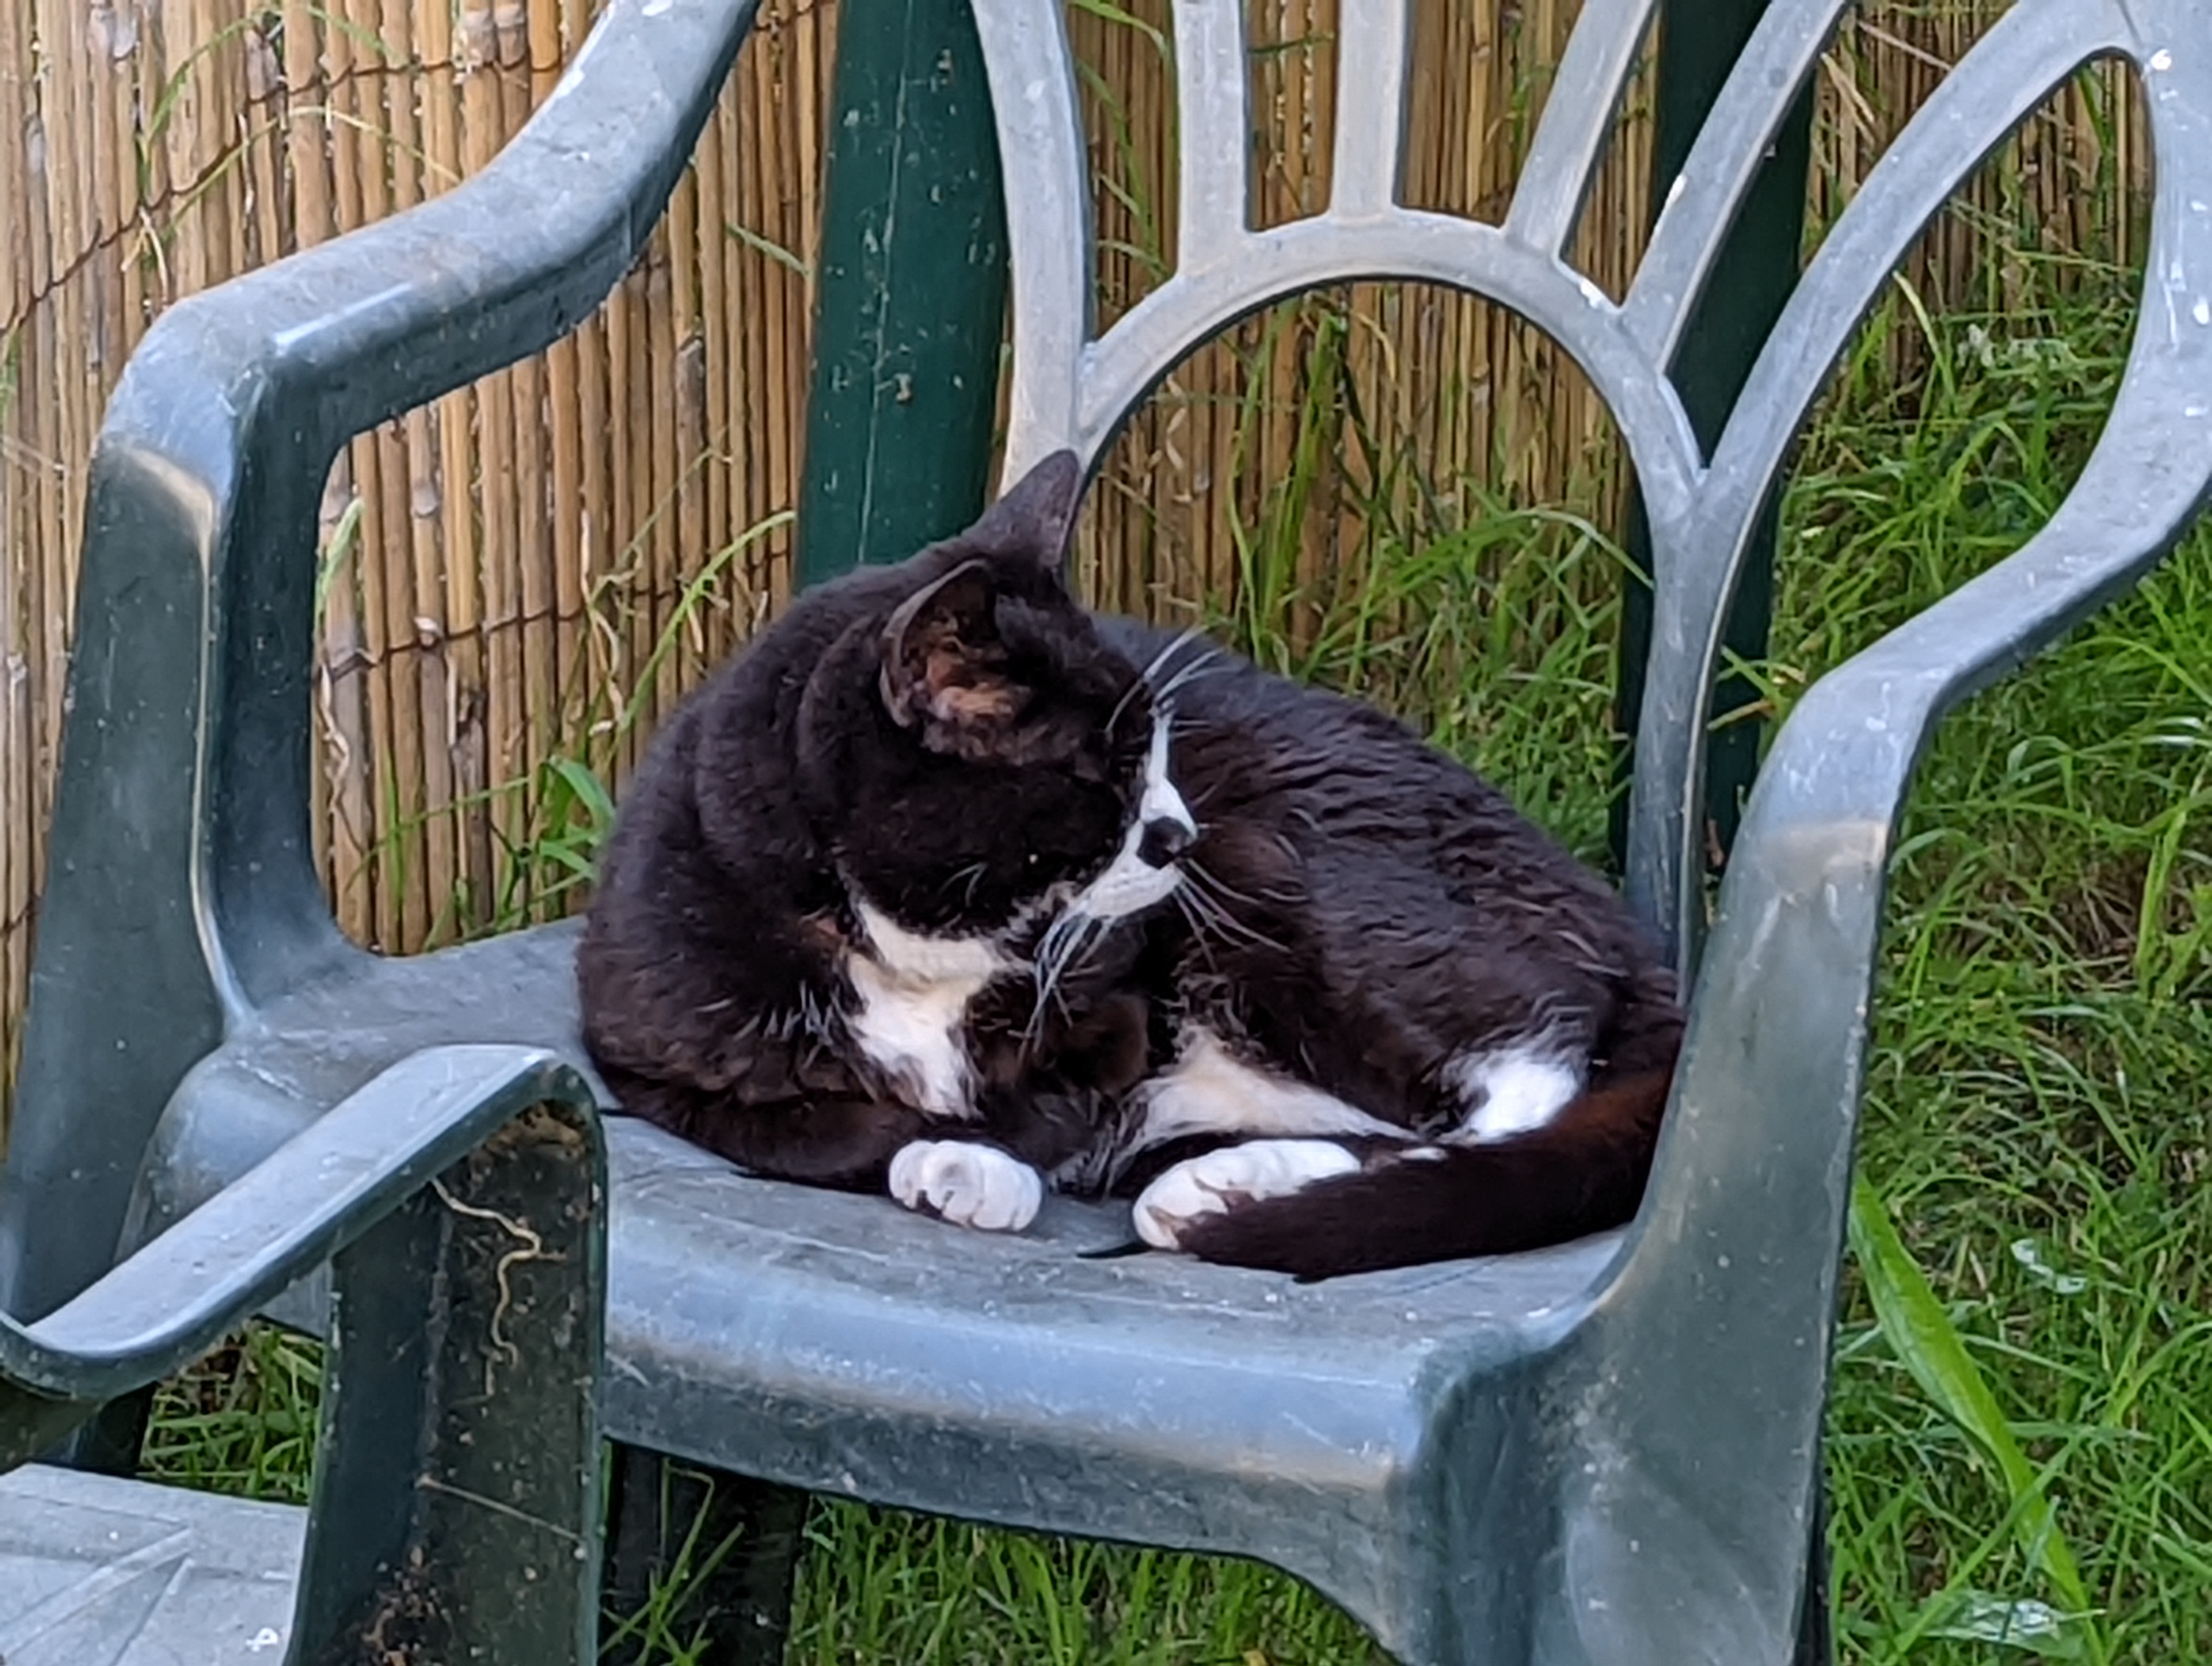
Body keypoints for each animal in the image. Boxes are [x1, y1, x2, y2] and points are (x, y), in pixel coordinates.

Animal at [579, 449, 1681, 1283]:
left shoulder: (1113, 1016)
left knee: (1519, 1085)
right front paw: (937, 1148)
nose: (1178, 831)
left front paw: (973, 1164)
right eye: (1104, 772)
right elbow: (821, 1128)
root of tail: (1638, 944)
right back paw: (1219, 1184)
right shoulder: (654, 1062)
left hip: (1289, 881)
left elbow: (1045, 1104)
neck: (916, 955)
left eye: (1159, 746)